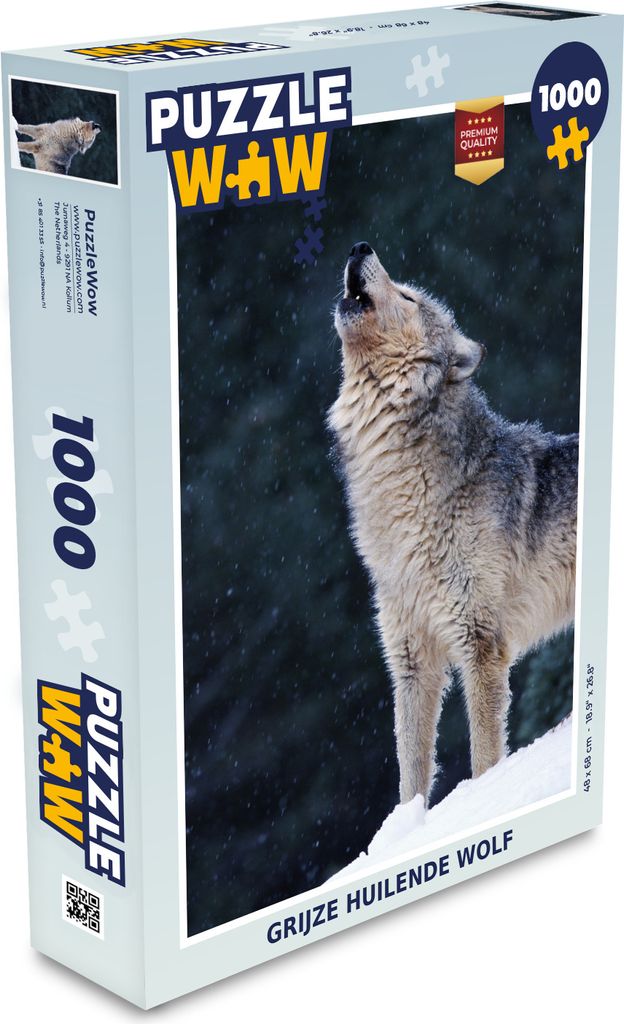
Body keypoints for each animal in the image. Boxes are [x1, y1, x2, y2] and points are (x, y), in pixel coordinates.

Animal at [329, 241, 578, 807]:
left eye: (407, 296)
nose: (359, 247)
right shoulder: (410, 658)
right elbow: (411, 771)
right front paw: (409, 827)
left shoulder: (480, 641)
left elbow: (485, 756)